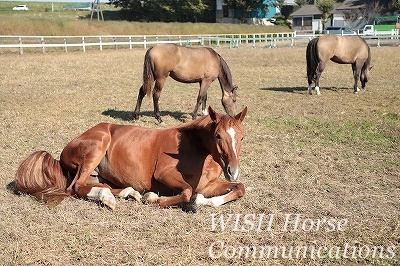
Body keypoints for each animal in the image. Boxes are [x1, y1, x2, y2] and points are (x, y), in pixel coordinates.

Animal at [14, 106, 247, 210]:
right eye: (218, 136)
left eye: (242, 137)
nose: (233, 170)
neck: (196, 148)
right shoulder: (164, 174)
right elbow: (187, 192)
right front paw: (153, 198)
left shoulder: (208, 185)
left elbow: (239, 188)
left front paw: (208, 201)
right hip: (97, 148)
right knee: (76, 187)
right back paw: (110, 198)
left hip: (98, 175)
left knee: (98, 186)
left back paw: (128, 192)